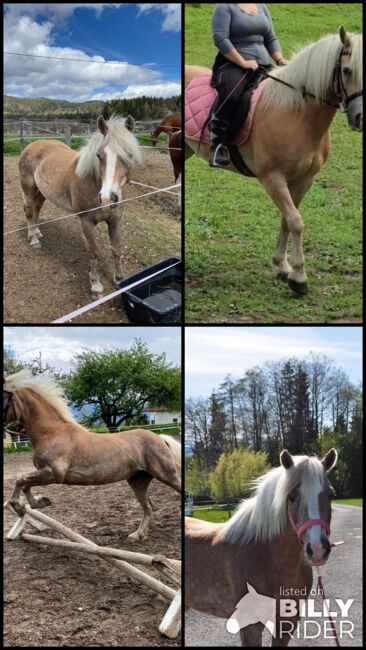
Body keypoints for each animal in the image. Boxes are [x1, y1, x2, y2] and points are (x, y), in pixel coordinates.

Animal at [2, 368, 180, 540]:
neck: (51, 432)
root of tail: (160, 438)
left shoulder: (53, 473)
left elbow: (21, 480)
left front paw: (23, 505)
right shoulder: (44, 473)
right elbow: (25, 484)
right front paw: (38, 503)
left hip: (166, 475)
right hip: (138, 481)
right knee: (148, 507)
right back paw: (138, 535)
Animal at [18, 114, 142, 298]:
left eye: (130, 154)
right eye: (99, 155)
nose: (108, 198)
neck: (93, 183)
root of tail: (32, 145)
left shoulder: (115, 219)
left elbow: (116, 248)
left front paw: (120, 279)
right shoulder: (87, 222)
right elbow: (94, 252)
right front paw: (96, 285)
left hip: (42, 192)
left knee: (36, 208)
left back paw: (37, 231)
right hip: (28, 189)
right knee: (28, 210)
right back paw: (33, 238)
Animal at [184, 26, 362, 294]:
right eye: (346, 70)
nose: (361, 117)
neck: (297, 113)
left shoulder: (304, 179)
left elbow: (287, 219)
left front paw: (283, 266)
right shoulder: (273, 179)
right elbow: (296, 222)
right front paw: (299, 278)